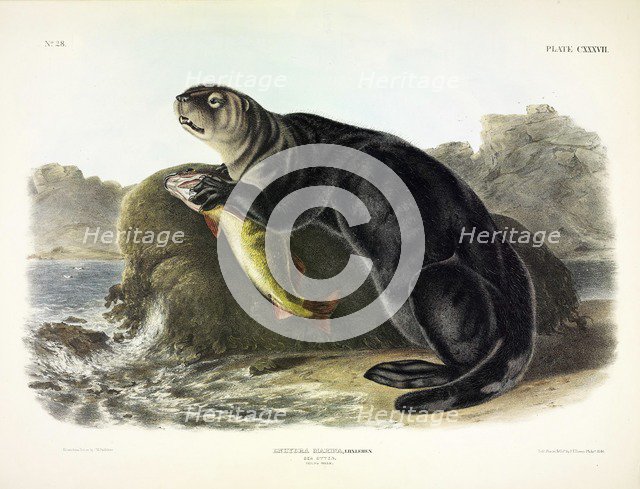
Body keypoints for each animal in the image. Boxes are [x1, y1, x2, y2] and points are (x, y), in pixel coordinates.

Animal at [173, 85, 536, 413]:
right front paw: (217, 172)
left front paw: (217, 187)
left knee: (466, 354)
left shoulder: (301, 176)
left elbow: (285, 210)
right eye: (194, 88)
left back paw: (410, 373)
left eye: (214, 100)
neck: (274, 147)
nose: (180, 98)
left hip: (438, 283)